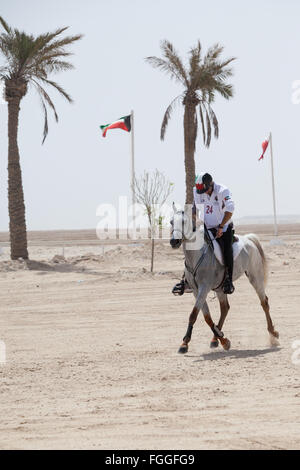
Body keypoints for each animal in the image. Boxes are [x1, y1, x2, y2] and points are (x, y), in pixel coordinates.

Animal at [170, 206, 280, 352]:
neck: (196, 255)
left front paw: (185, 343)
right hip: (220, 288)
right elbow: (206, 317)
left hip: (255, 278)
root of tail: (248, 239)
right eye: (171, 222)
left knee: (264, 302)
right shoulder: (196, 290)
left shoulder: (204, 288)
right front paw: (222, 339)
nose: (173, 241)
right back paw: (215, 339)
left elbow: (193, 314)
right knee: (225, 308)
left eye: (183, 222)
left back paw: (273, 333)